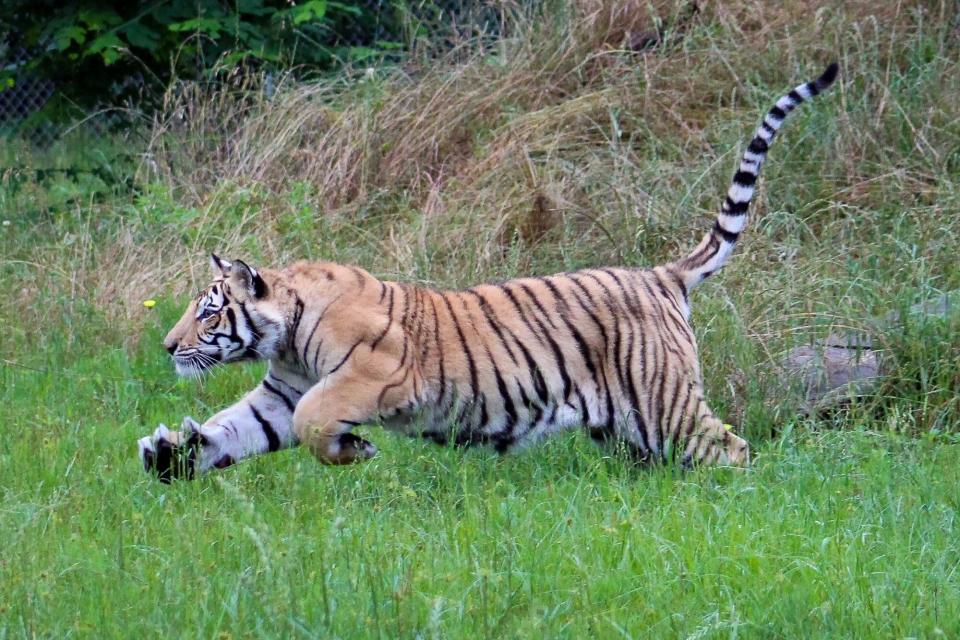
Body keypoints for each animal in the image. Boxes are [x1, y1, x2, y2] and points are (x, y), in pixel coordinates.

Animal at [139, 63, 836, 480]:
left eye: (208, 311)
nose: (167, 347)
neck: (286, 333)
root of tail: (660, 274)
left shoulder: (376, 376)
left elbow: (316, 418)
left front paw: (355, 450)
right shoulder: (278, 394)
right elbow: (234, 428)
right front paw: (168, 453)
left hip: (667, 406)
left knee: (732, 450)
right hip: (634, 426)